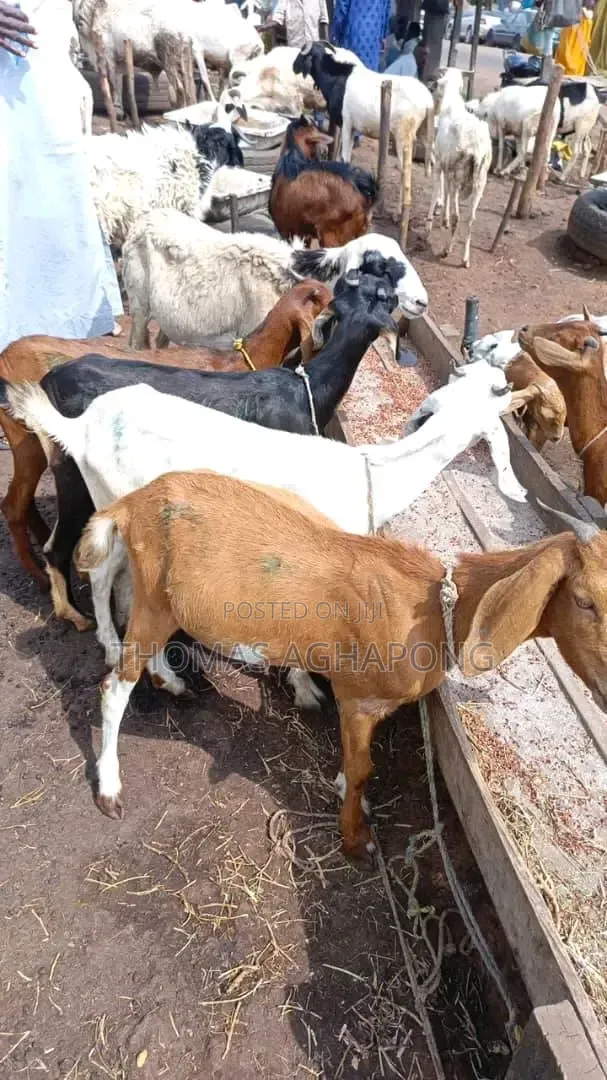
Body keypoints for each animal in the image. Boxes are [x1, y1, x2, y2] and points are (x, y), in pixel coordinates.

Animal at [4, 360, 528, 702]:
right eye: (500, 388)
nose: (516, 393)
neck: (372, 477)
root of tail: (80, 427)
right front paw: (305, 688)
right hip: (116, 499)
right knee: (103, 574)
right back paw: (124, 654)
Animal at [74, 470, 606, 857]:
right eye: (583, 600)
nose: (603, 686)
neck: (436, 608)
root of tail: (132, 502)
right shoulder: (358, 698)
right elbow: (363, 767)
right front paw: (355, 838)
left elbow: (354, 765)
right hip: (156, 596)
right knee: (114, 683)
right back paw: (110, 788)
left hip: (157, 599)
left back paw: (171, 682)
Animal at [122, 208, 428, 348]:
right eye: (381, 267)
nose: (422, 302)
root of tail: (145, 217)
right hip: (139, 305)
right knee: (137, 341)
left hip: (172, 317)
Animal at [293, 42, 434, 177]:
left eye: (302, 53)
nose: (294, 67)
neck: (338, 79)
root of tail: (427, 99)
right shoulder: (353, 128)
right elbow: (345, 156)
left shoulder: (346, 123)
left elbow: (344, 156)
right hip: (424, 133)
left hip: (403, 136)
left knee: (406, 170)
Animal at [425, 68, 491, 269]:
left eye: (436, 85)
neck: (451, 104)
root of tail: (477, 148)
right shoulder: (447, 170)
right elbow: (445, 193)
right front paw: (443, 219)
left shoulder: (439, 164)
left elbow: (436, 191)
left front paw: (428, 224)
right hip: (479, 183)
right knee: (470, 219)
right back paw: (465, 258)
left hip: (458, 177)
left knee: (458, 216)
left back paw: (446, 250)